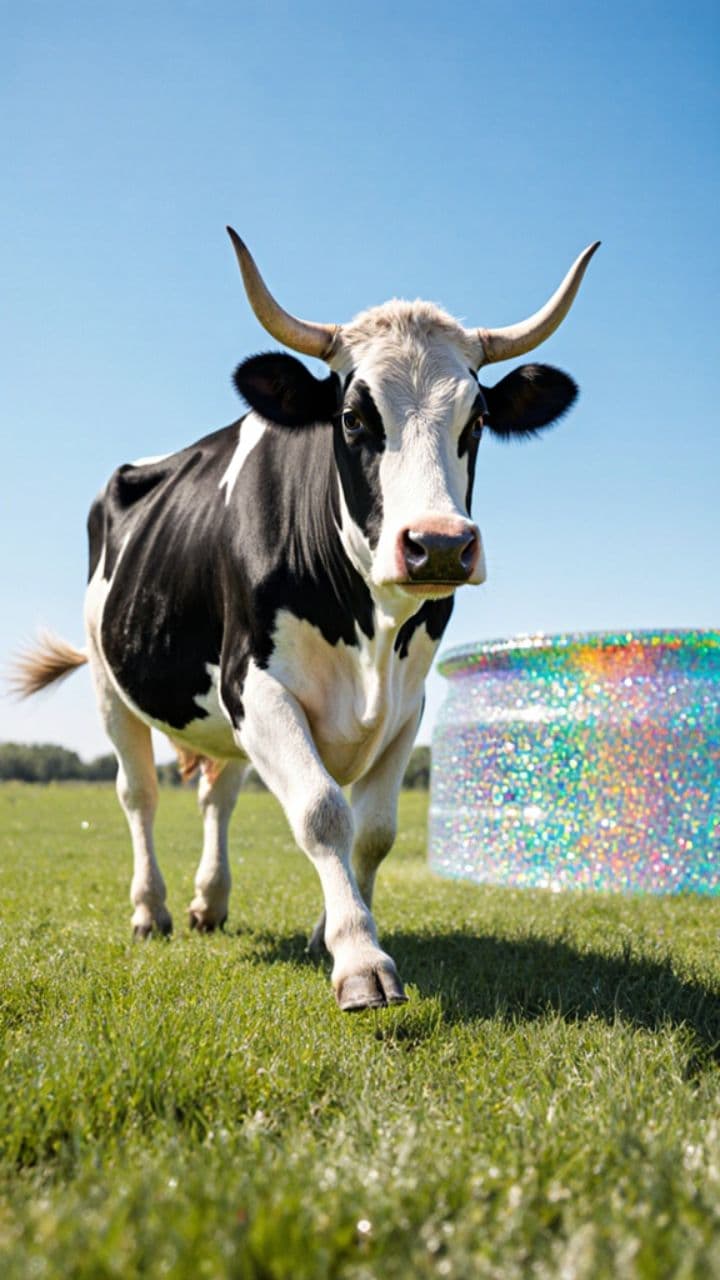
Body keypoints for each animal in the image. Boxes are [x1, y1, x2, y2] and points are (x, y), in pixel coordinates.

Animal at [13, 229, 599, 1011]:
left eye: (476, 420)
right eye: (354, 417)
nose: (440, 543)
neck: (370, 628)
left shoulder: (407, 705)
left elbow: (374, 830)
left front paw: (335, 928)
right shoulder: (254, 685)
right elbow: (322, 810)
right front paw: (359, 959)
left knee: (219, 794)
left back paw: (210, 903)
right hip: (112, 685)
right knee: (138, 795)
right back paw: (151, 910)